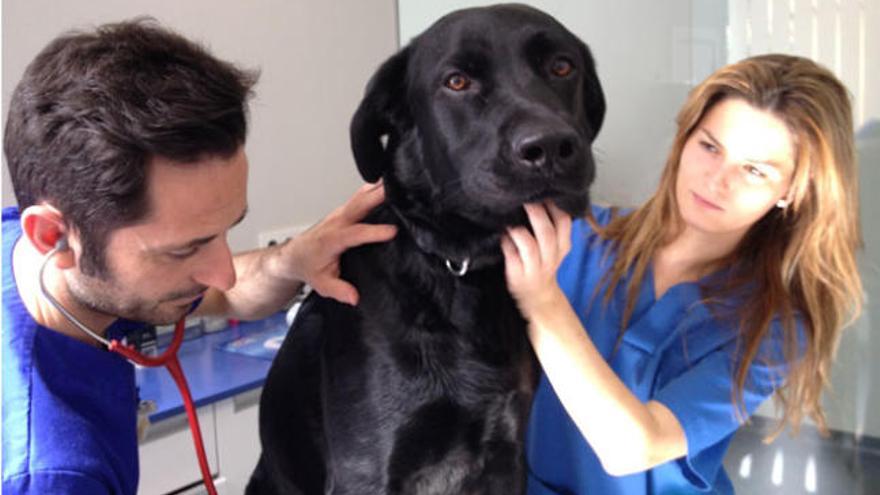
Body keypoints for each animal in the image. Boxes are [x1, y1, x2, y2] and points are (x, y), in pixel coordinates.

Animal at [249, 4, 604, 495]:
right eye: (456, 81)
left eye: (562, 66)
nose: (551, 146)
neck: (459, 268)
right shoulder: (368, 470)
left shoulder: (507, 454)